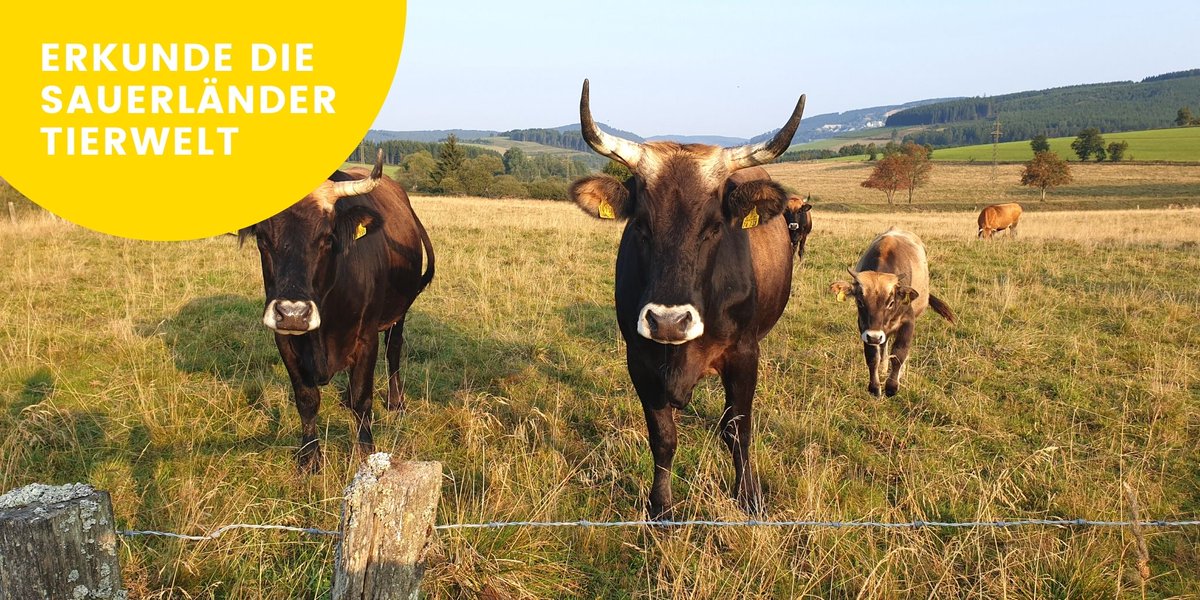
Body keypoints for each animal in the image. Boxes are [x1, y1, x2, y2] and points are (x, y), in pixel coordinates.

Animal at [241, 150, 435, 471]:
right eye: (262, 238)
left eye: (327, 238)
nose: (293, 314)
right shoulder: (284, 340)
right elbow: (307, 399)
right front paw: (309, 458)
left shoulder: (366, 338)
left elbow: (363, 399)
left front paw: (366, 452)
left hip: (399, 314)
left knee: (393, 352)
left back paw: (396, 402)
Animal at [567, 80, 805, 518]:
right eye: (640, 226)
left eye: (713, 228)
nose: (668, 322)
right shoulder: (640, 358)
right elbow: (663, 437)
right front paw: (660, 508)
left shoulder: (744, 354)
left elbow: (738, 430)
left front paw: (749, 497)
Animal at [829, 229, 955, 397]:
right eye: (860, 301)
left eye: (890, 302)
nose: (874, 337)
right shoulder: (865, 327)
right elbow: (872, 357)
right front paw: (875, 387)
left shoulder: (908, 321)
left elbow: (899, 354)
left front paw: (892, 386)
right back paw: (883, 367)